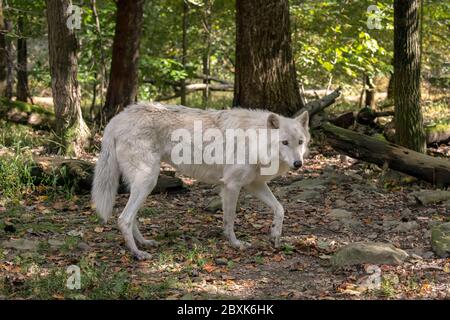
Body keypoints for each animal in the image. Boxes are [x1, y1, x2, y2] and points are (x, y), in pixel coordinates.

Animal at [91, 103, 310, 260]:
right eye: (284, 142)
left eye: (300, 142)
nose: (298, 164)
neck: (254, 140)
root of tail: (116, 120)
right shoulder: (231, 185)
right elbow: (229, 220)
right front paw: (235, 244)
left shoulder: (253, 184)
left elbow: (280, 209)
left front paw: (275, 235)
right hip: (147, 180)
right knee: (123, 219)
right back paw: (137, 253)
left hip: (141, 185)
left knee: (131, 217)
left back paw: (144, 243)